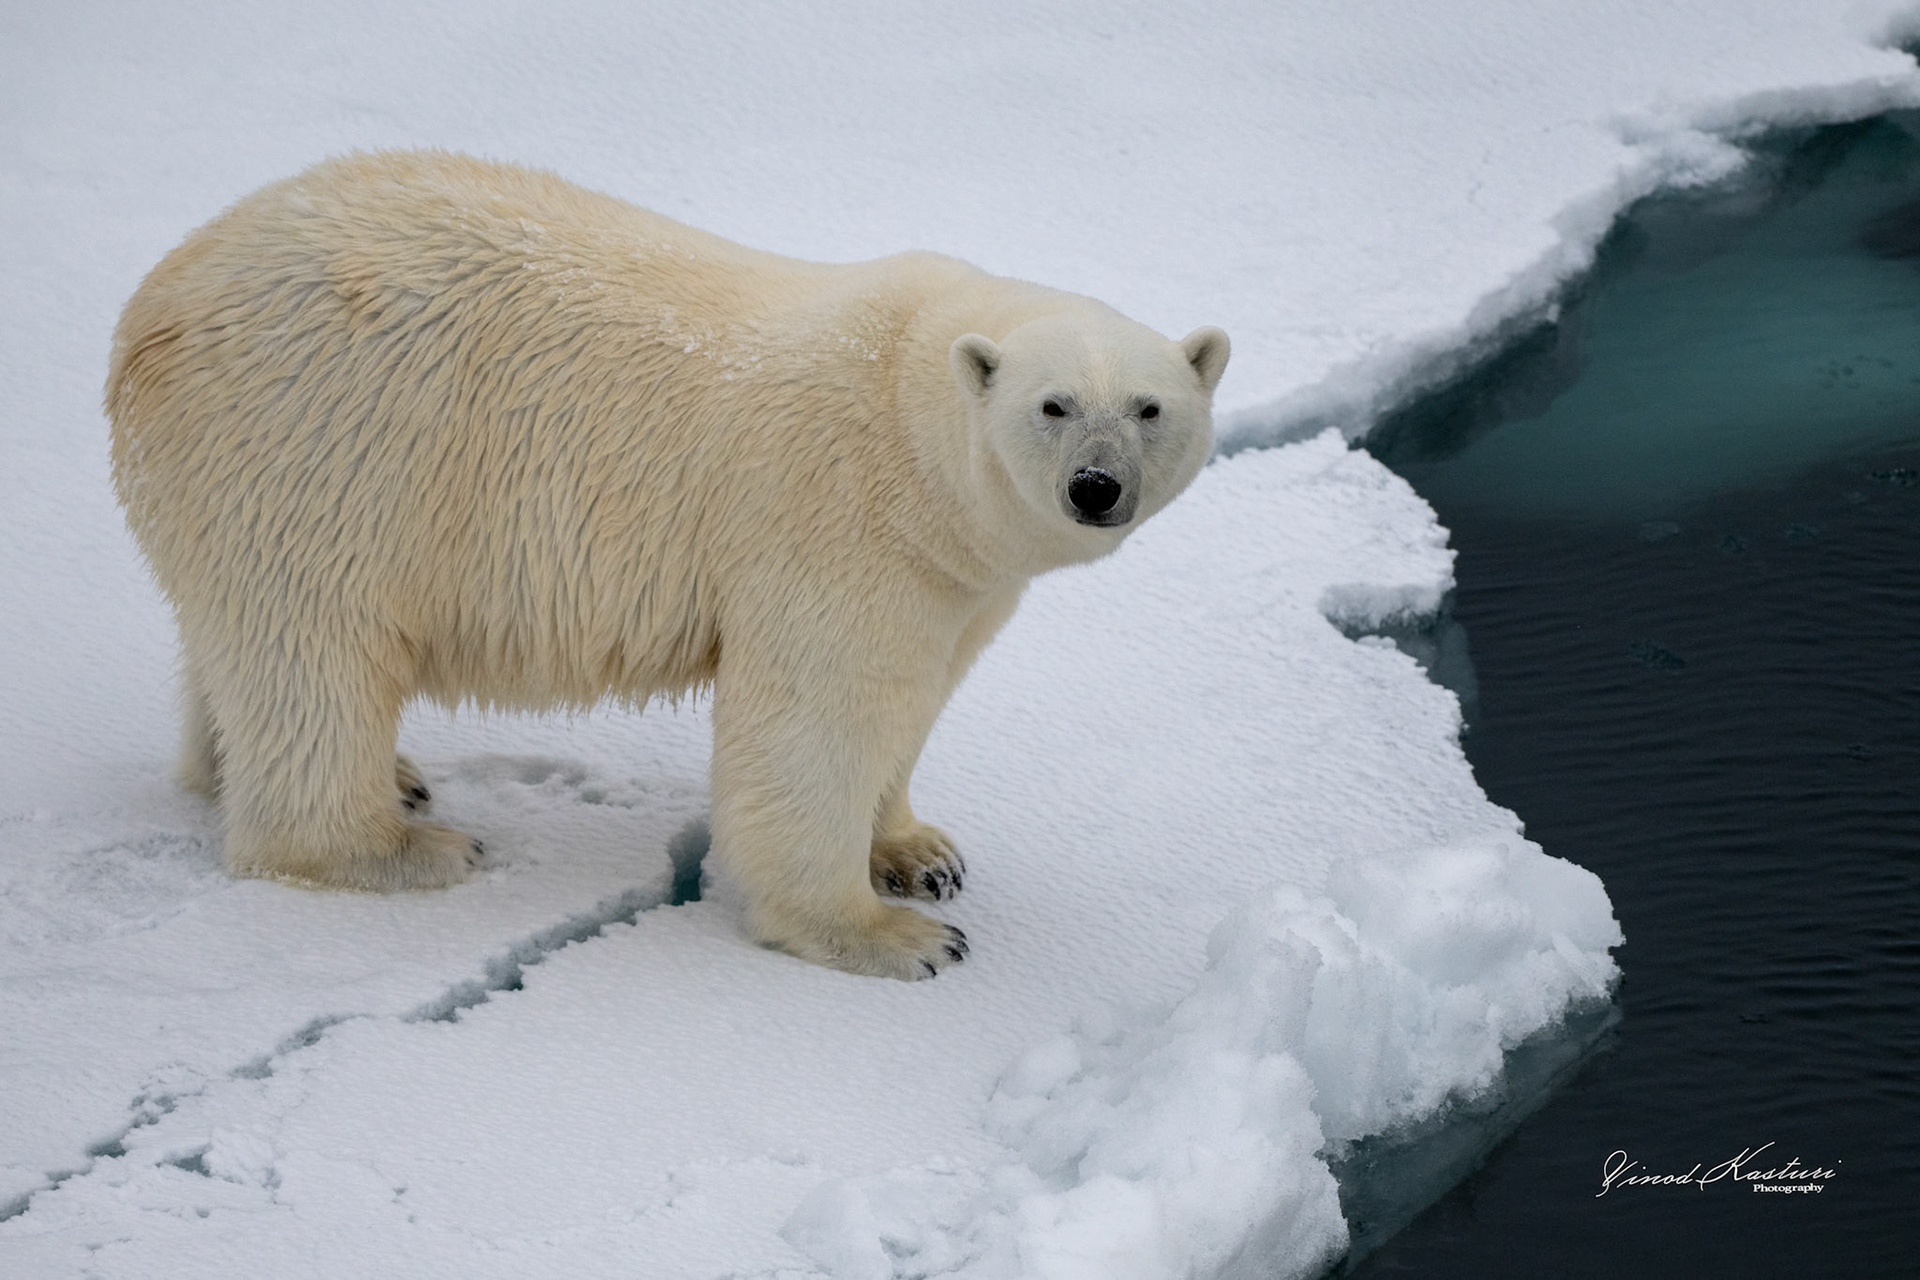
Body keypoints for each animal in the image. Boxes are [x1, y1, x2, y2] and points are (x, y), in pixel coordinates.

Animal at [106, 150, 1228, 980]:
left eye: (1148, 407)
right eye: (1053, 405)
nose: (1096, 487)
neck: (907, 414)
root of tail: (153, 307)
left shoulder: (957, 577)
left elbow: (917, 697)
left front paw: (921, 853)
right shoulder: (838, 524)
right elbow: (821, 719)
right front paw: (898, 936)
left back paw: (354, 776)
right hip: (322, 456)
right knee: (316, 656)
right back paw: (402, 843)